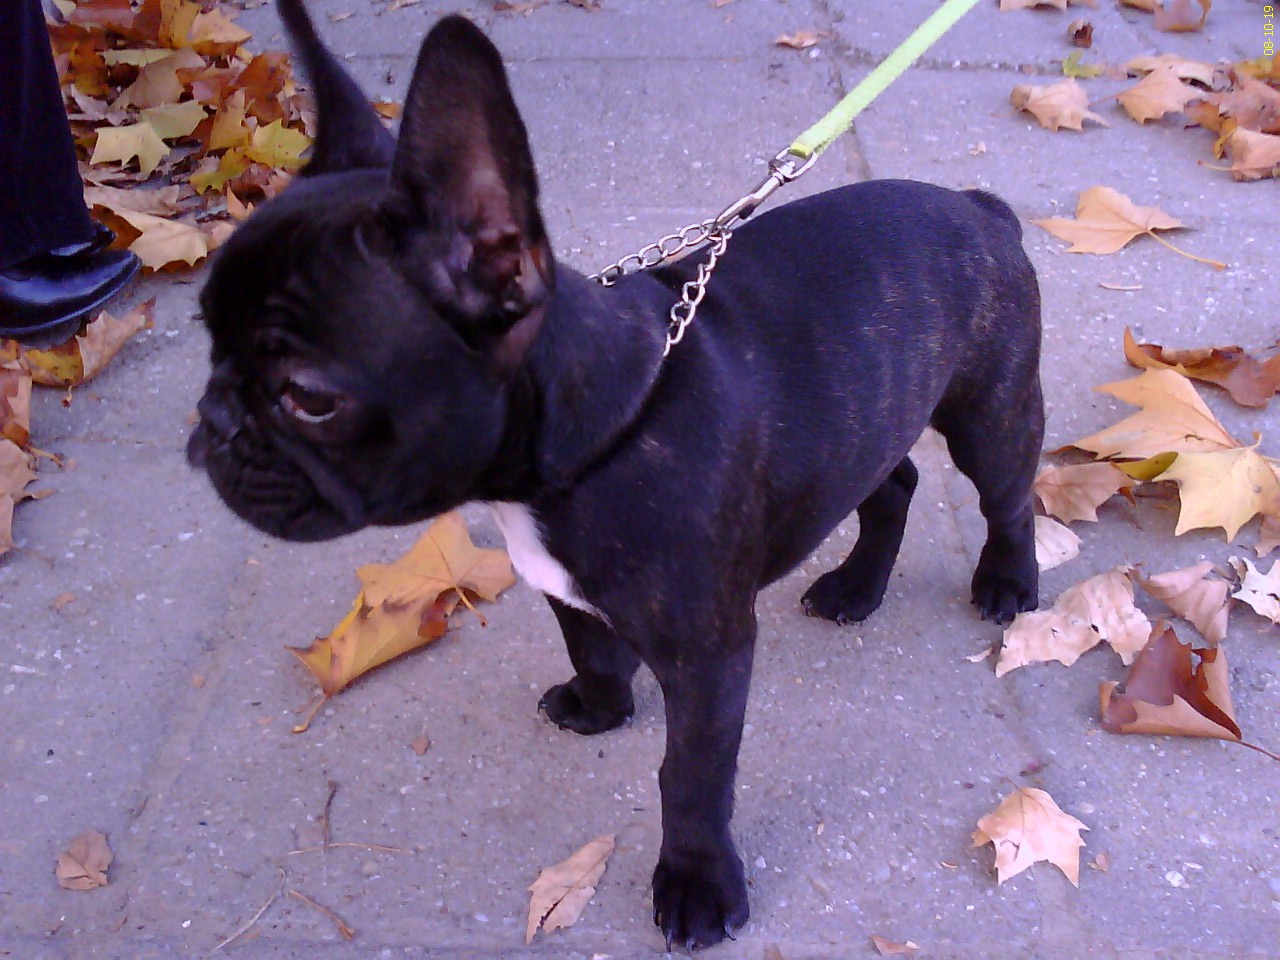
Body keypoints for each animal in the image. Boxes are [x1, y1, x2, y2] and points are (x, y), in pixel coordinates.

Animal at [188, 0, 1044, 948]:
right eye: (206, 334)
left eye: (307, 397)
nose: (213, 422)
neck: (596, 440)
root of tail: (980, 209)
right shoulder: (564, 586)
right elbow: (591, 645)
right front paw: (600, 706)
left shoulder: (709, 656)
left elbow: (690, 776)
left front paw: (698, 882)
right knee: (890, 486)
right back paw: (856, 586)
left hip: (990, 414)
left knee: (1007, 497)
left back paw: (1007, 581)